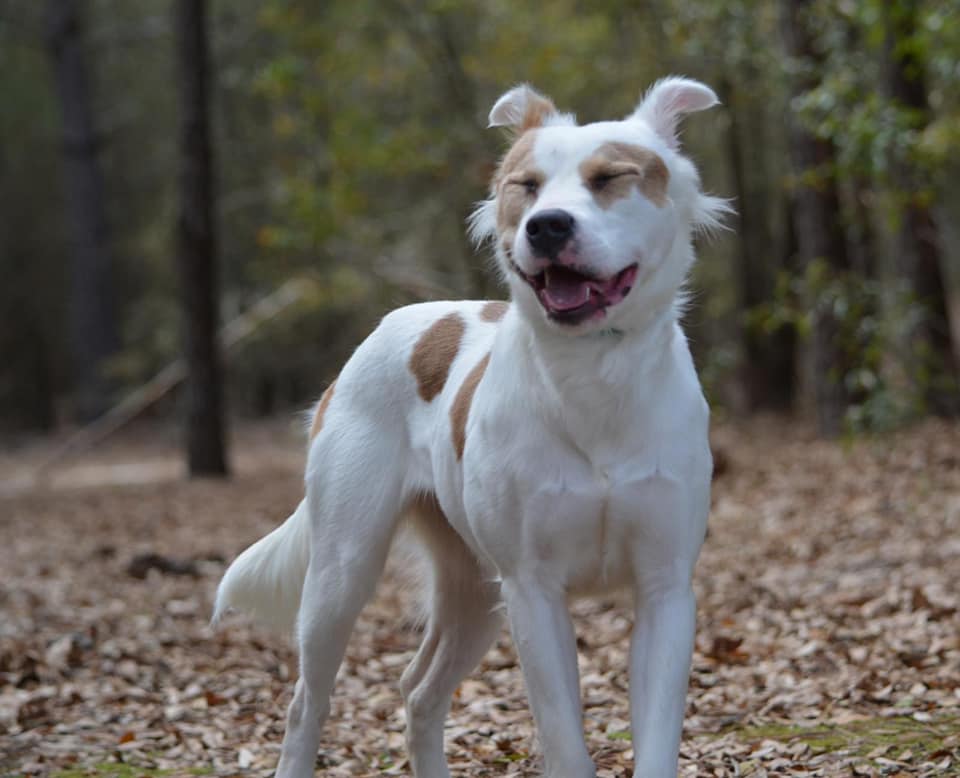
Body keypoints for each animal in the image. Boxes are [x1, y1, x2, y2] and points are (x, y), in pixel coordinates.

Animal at [216, 77, 728, 776]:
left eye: (609, 177)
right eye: (526, 185)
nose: (547, 226)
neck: (593, 374)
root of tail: (391, 323)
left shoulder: (665, 590)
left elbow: (654, 741)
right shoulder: (533, 591)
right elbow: (565, 741)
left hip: (474, 592)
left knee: (419, 692)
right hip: (342, 573)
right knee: (306, 704)